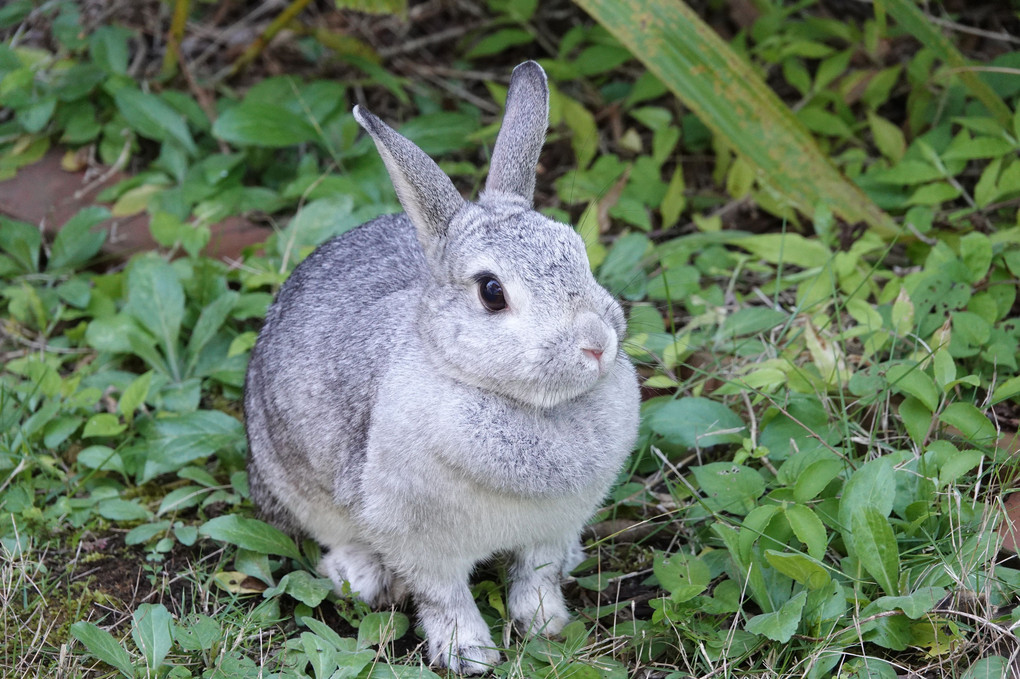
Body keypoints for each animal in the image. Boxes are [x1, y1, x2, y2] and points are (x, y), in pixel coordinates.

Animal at [242, 62, 636, 672]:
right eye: (492, 292)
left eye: (578, 252)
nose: (597, 345)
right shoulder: (421, 543)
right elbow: (445, 597)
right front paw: (470, 653)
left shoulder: (551, 528)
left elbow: (537, 574)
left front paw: (544, 625)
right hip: (289, 479)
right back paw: (359, 574)